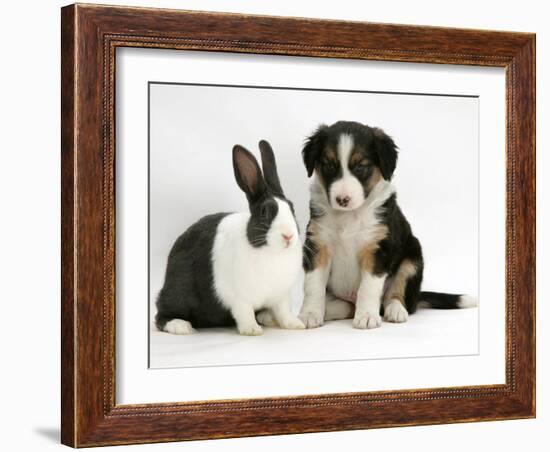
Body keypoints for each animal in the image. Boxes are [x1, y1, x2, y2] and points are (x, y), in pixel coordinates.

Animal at [300, 122, 476, 330]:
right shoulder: (318, 245)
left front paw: (367, 316)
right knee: (346, 307)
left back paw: (395, 311)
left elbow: (368, 287)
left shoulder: (378, 249)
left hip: (412, 258)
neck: (349, 215)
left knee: (395, 297)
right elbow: (313, 285)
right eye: (328, 165)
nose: (342, 199)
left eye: (361, 166)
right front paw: (309, 314)